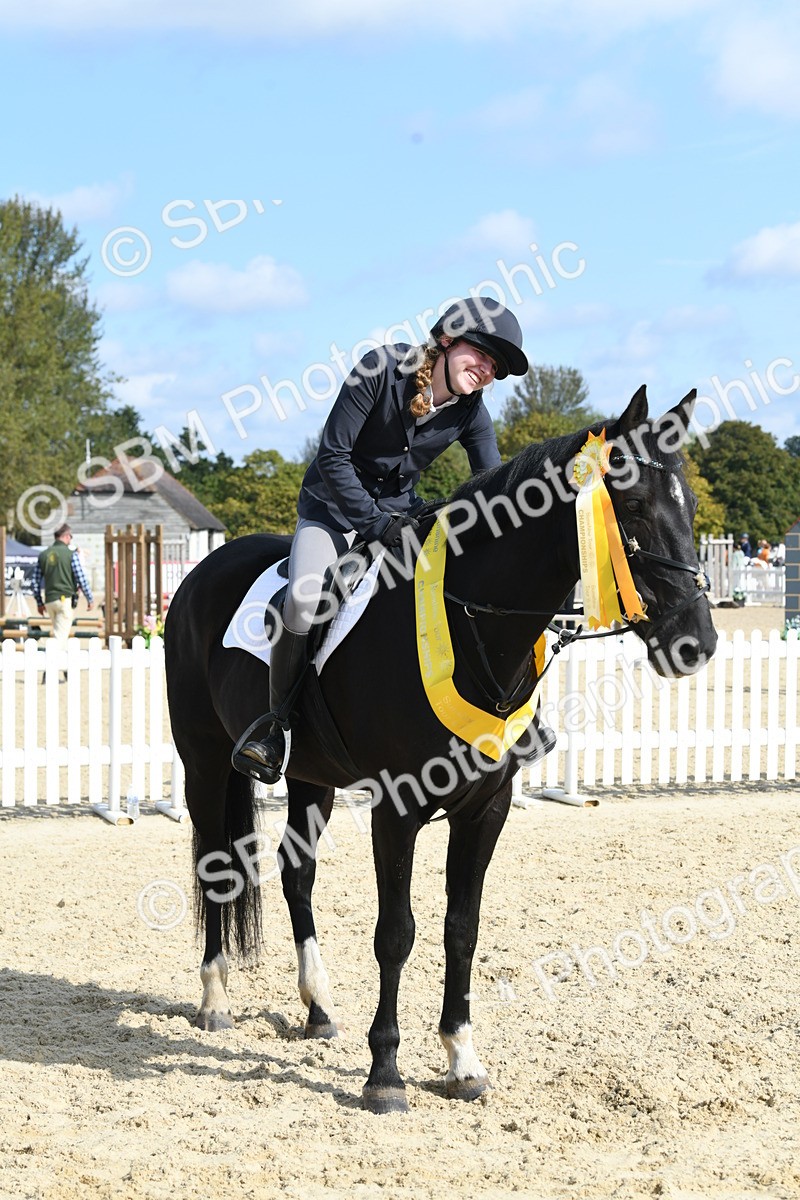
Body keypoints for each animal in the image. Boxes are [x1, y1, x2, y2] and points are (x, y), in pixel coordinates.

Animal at [164, 386, 718, 1114]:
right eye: (630, 507)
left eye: (689, 501)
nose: (696, 642)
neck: (468, 622)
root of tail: (203, 569)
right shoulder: (396, 810)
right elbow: (396, 932)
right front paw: (384, 1074)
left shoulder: (486, 808)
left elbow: (463, 927)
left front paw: (461, 1060)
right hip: (204, 762)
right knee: (218, 867)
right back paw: (214, 996)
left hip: (312, 775)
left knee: (296, 872)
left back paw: (317, 1008)